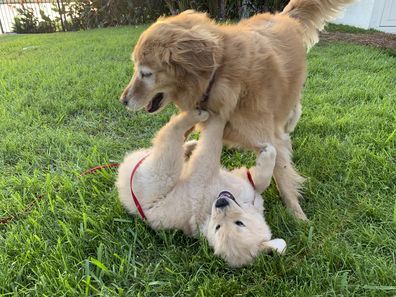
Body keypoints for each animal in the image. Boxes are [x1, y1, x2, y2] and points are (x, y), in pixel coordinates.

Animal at [116, 109, 286, 266]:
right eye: (218, 227)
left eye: (237, 223)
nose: (221, 203)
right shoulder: (214, 175)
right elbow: (259, 179)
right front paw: (269, 153)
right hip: (161, 175)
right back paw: (192, 134)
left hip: (159, 174)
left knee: (168, 139)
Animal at [119, 0, 354, 217]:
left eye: (145, 73)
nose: (123, 101)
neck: (218, 72)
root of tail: (282, 15)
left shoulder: (269, 138)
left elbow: (282, 174)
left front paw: (298, 216)